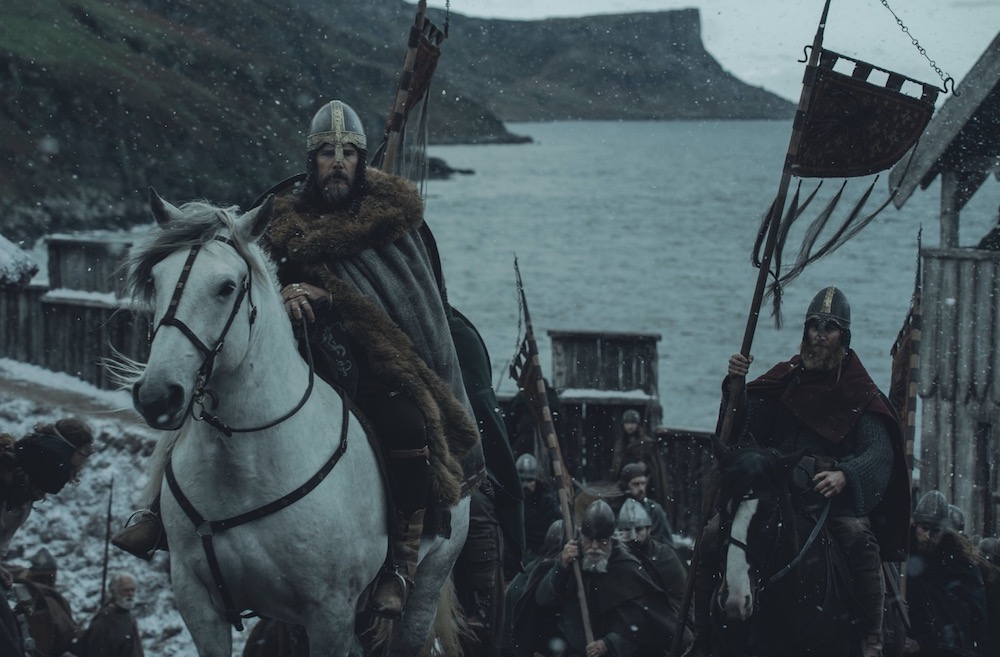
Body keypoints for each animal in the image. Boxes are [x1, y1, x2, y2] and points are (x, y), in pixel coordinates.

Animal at [118, 190, 470, 657]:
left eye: (226, 287)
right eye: (156, 281)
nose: (157, 395)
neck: (243, 466)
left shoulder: (330, 613)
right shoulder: (198, 602)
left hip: (427, 581)